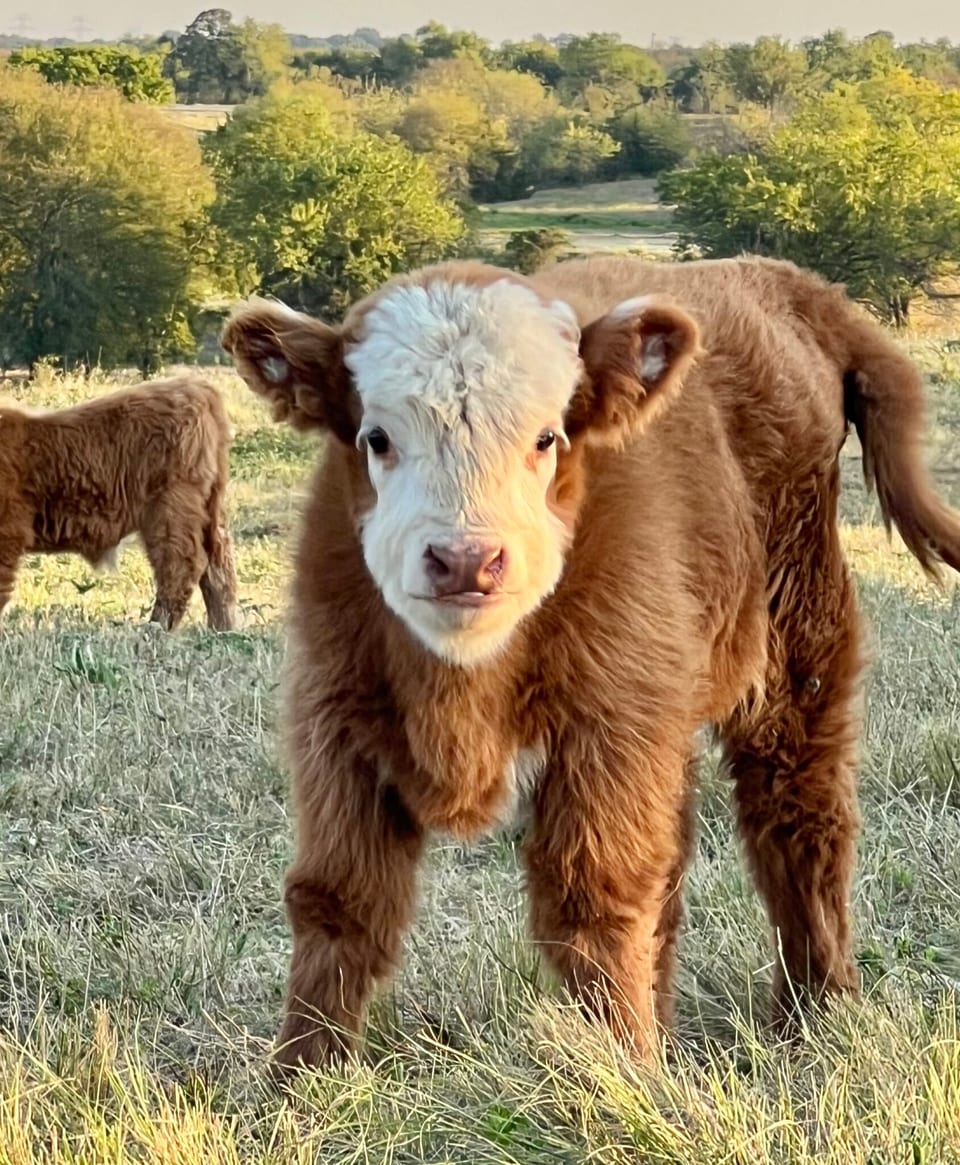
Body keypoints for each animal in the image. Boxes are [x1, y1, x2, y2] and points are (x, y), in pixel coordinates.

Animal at [0, 375, 238, 630]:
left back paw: (156, 627)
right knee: (218, 565)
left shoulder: (8, 533)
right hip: (207, 511)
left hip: (170, 509)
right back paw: (222, 628)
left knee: (181, 564)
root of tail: (194, 385)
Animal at [222, 255, 960, 1074]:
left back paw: (813, 1013)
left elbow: (594, 896)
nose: (466, 559)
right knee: (675, 863)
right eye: (375, 436)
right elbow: (338, 899)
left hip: (796, 648)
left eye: (547, 437)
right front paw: (299, 1076)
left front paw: (624, 1071)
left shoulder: (609, 726)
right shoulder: (332, 718)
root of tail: (774, 278)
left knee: (798, 814)